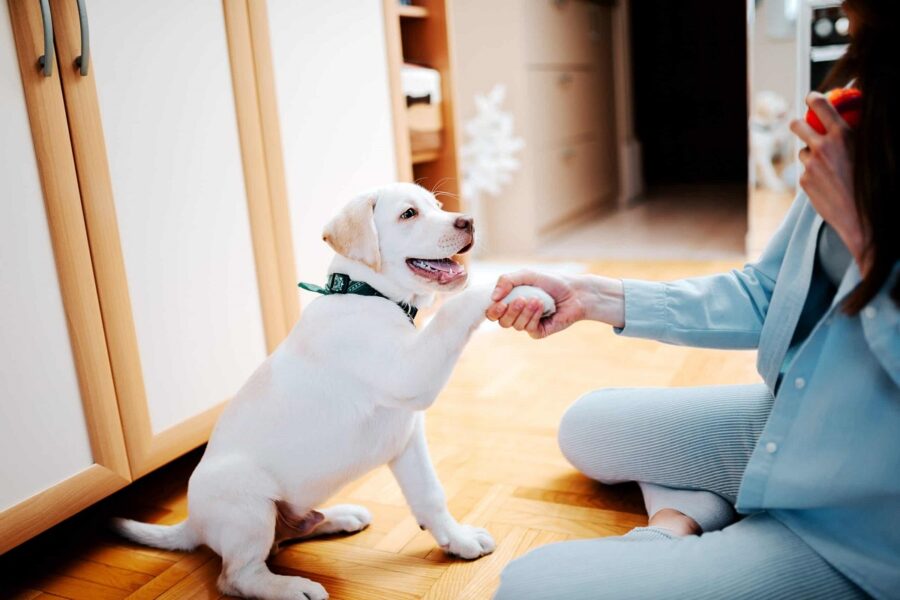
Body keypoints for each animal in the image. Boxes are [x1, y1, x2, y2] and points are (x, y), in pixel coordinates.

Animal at [112, 183, 548, 600]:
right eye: (409, 214)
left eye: (438, 206)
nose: (468, 221)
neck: (367, 293)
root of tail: (193, 524)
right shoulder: (411, 374)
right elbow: (453, 311)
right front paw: (516, 289)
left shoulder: (407, 437)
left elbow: (430, 494)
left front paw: (456, 540)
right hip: (248, 504)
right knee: (237, 576)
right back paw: (292, 588)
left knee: (282, 540)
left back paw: (338, 518)